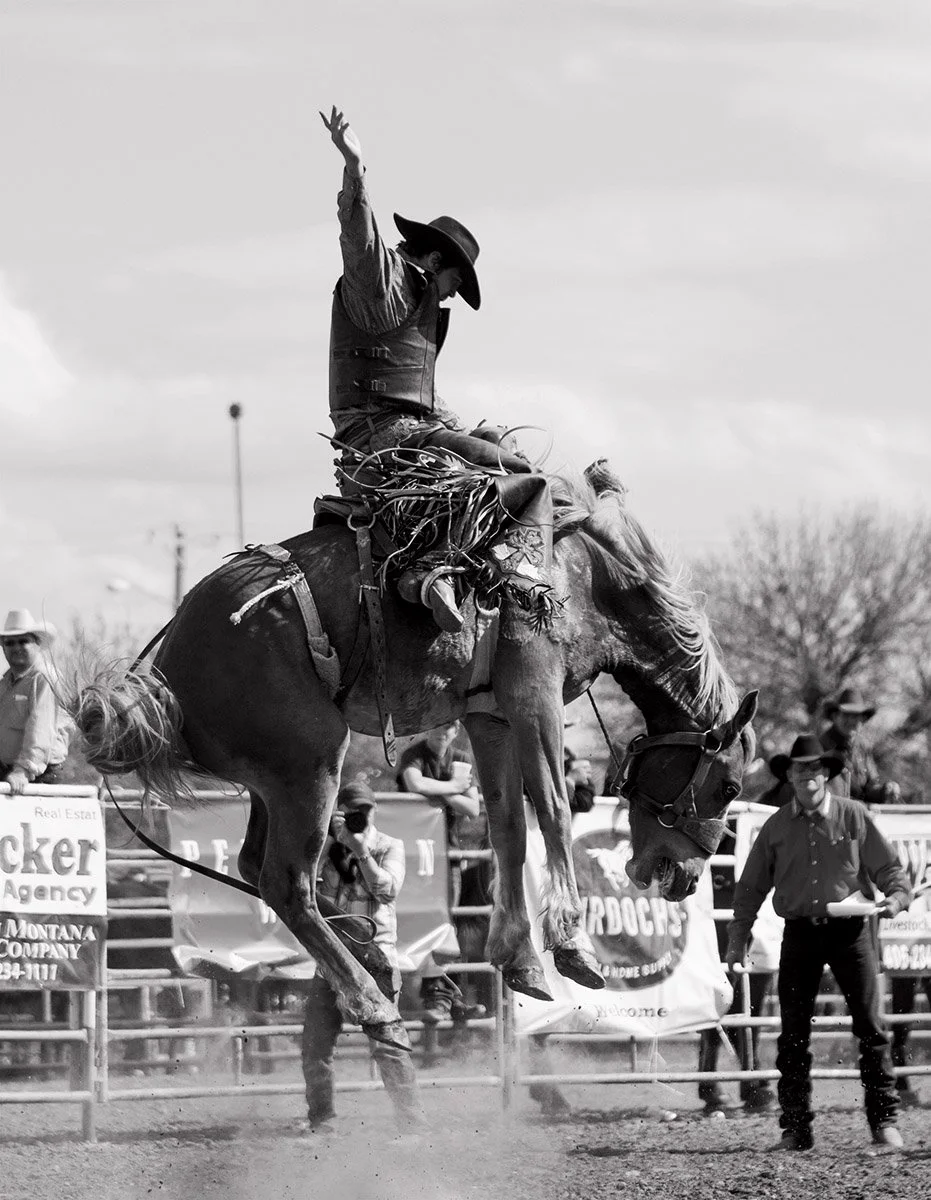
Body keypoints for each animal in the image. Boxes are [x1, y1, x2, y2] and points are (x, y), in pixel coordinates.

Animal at [69, 468, 757, 1051]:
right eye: (727, 787)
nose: (686, 877)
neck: (587, 577)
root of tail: (167, 667)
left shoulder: (488, 713)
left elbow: (509, 827)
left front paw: (522, 961)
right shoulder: (533, 691)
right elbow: (553, 808)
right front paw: (572, 948)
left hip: (272, 780)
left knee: (256, 865)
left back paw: (368, 946)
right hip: (312, 761)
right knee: (285, 880)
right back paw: (374, 1006)